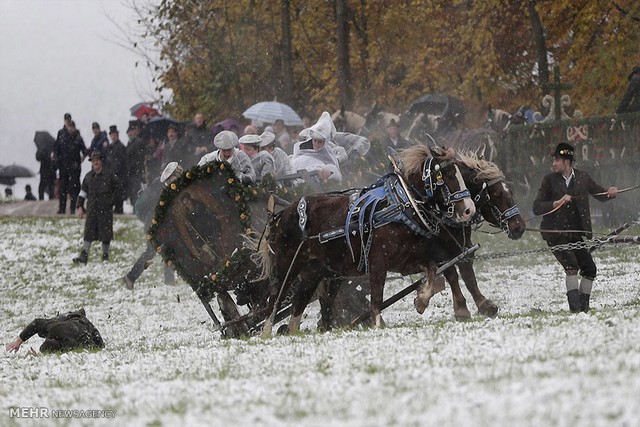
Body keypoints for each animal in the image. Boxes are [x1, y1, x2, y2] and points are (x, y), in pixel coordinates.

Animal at [258, 147, 476, 338]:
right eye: (447, 175)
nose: (469, 210)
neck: (401, 205)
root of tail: (281, 214)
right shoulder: (378, 263)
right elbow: (377, 297)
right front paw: (377, 325)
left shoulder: (405, 261)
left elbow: (431, 270)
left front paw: (421, 301)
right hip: (287, 265)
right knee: (274, 299)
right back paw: (267, 333)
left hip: (315, 270)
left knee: (299, 301)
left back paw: (293, 332)